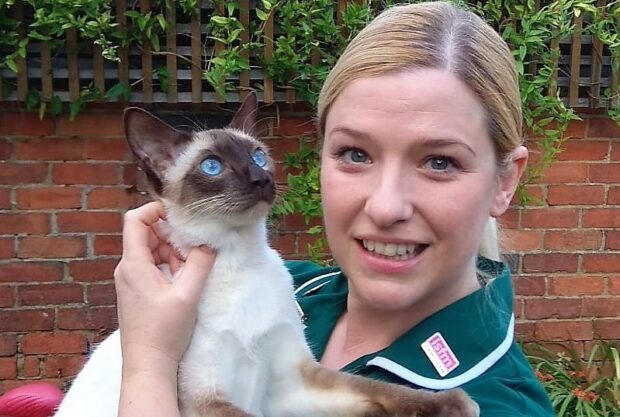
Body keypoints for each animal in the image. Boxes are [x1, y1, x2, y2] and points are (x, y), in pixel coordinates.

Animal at [54, 92, 480, 416]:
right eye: (212, 166)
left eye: (257, 156)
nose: (261, 179)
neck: (241, 259)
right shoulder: (207, 398)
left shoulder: (293, 380)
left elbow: (378, 389)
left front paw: (454, 404)